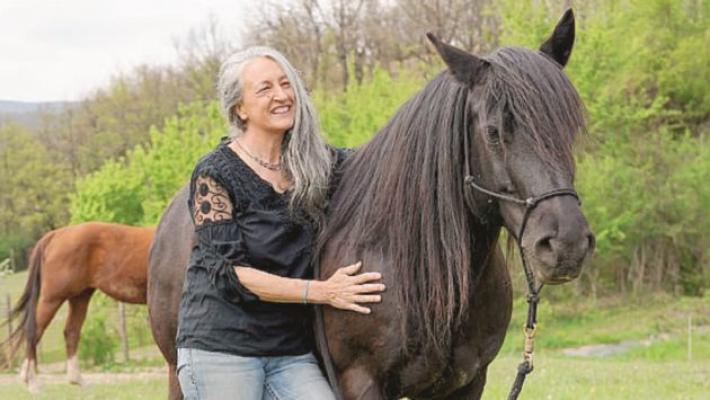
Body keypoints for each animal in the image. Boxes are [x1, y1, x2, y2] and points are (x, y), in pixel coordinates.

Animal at [4, 221, 155, 392]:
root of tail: (57, 234)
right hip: (52, 298)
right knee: (34, 332)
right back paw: (32, 383)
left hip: (79, 297)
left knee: (71, 332)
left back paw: (77, 380)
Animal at [147, 9, 594, 399]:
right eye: (494, 131)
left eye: (569, 127)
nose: (567, 244)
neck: (408, 259)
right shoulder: (360, 382)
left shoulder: (465, 384)